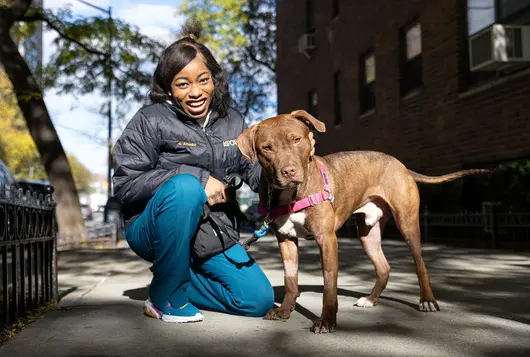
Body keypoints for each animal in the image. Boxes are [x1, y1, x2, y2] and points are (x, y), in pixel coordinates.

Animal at [235, 110, 486, 332]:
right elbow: (290, 279)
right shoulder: (286, 240)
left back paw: (427, 301)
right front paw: (285, 310)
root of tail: (400, 164)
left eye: (296, 139)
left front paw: (327, 321)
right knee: (383, 267)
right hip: (368, 233)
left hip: (407, 223)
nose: (289, 172)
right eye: (267, 148)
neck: (292, 194)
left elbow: (329, 285)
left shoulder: (326, 239)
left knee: (420, 264)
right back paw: (371, 300)